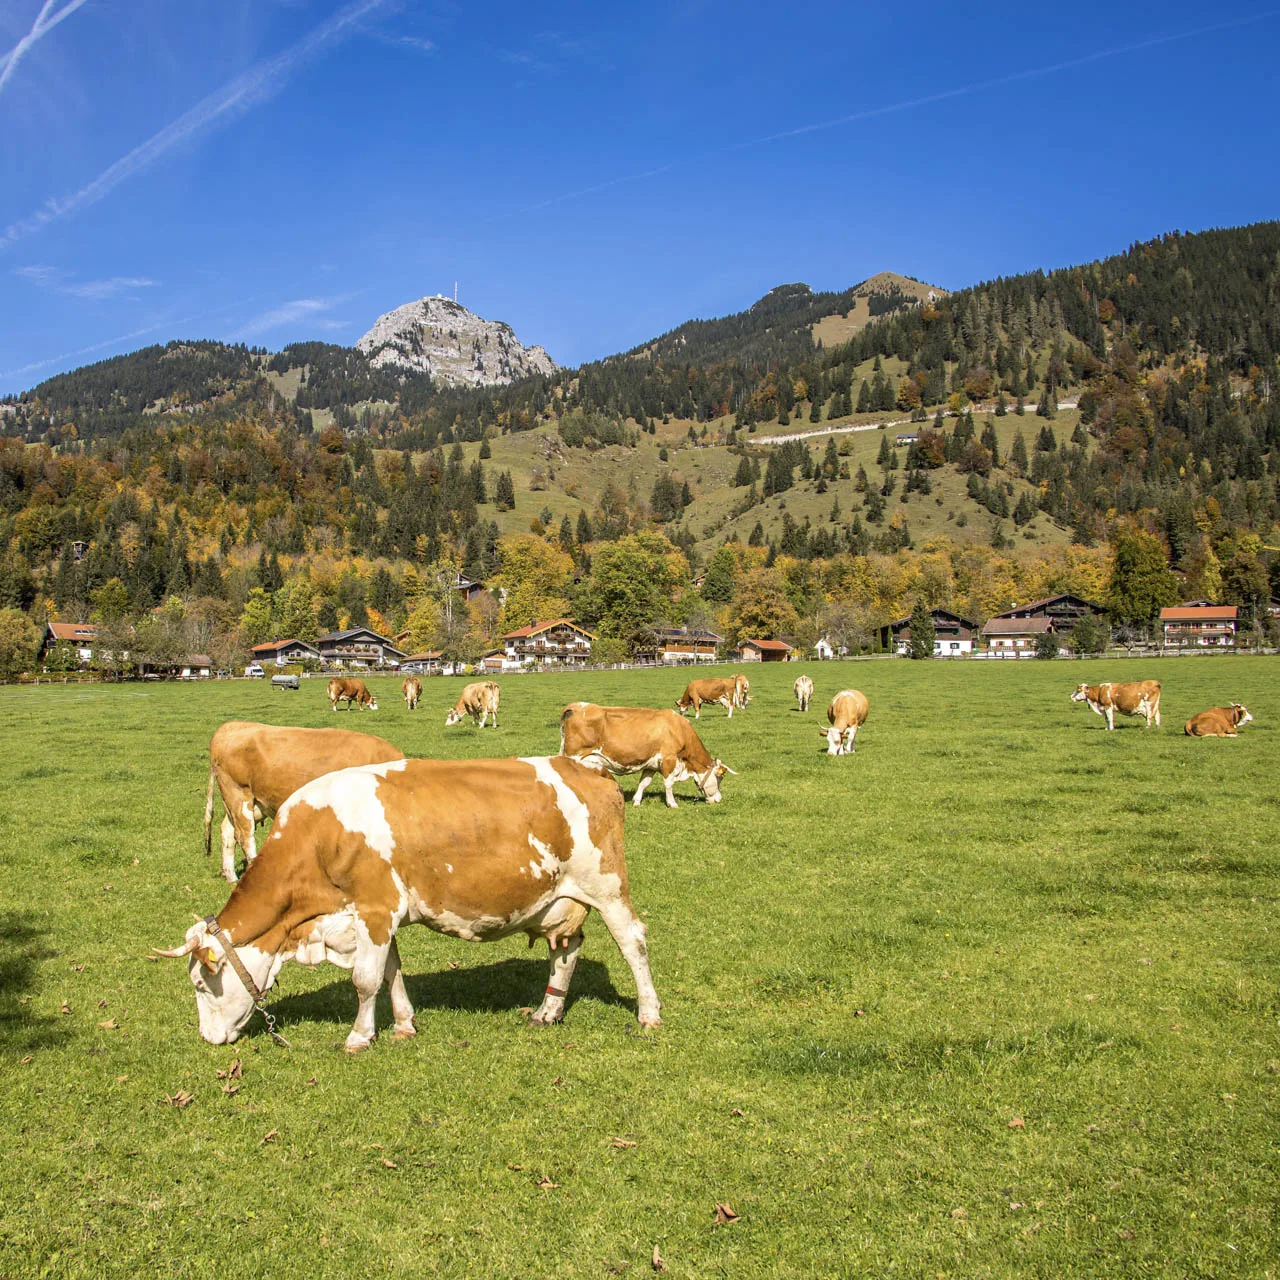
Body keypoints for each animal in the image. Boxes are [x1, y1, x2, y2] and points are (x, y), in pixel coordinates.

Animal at [159, 756, 662, 1050]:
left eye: (201, 985)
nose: (208, 1039)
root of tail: (585, 766)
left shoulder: (376, 909)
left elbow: (364, 980)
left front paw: (359, 1037)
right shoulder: (377, 916)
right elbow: (390, 973)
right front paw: (403, 1025)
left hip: (607, 885)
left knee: (632, 943)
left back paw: (649, 1015)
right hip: (557, 899)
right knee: (568, 949)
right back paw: (547, 1012)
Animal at [203, 722, 404, 882]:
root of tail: (231, 726)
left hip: (247, 803)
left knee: (228, 831)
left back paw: (231, 877)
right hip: (238, 794)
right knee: (245, 836)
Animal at [560, 702, 737, 808]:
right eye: (720, 778)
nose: (719, 799)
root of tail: (576, 706)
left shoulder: (651, 764)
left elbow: (644, 783)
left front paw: (636, 801)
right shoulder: (668, 760)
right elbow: (669, 784)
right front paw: (672, 803)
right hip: (574, 757)